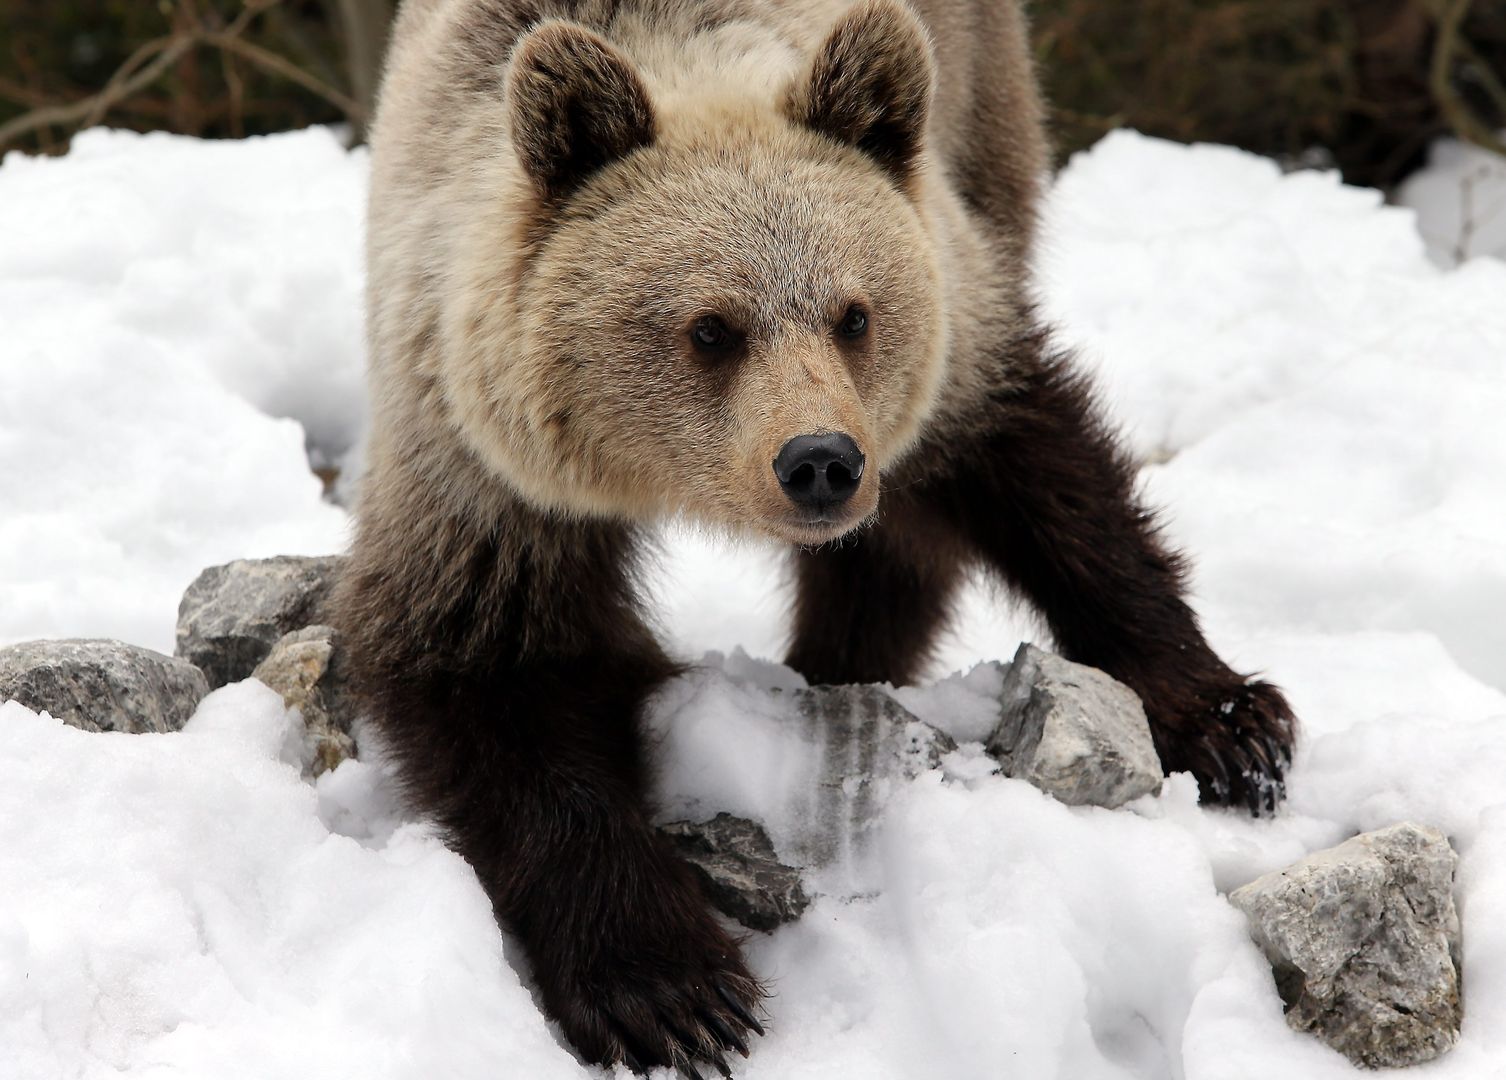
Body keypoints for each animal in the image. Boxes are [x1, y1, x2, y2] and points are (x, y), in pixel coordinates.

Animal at [335, 0, 1301, 1072]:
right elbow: (499, 682)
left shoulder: (953, 339)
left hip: (987, 116)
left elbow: (1052, 483)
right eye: (710, 328)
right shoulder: (487, 478)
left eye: (854, 314)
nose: (821, 461)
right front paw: (671, 990)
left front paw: (1230, 724)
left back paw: (841, 663)